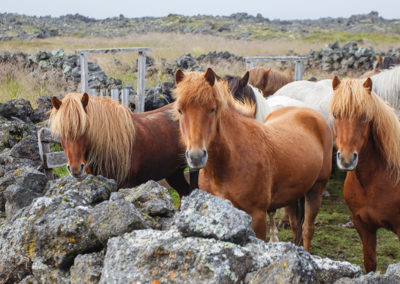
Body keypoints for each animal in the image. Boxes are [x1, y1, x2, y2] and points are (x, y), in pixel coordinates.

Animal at [173, 67, 332, 250]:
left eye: (212, 109)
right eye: (180, 110)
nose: (196, 156)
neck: (231, 160)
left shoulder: (257, 216)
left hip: (316, 189)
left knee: (307, 229)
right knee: (295, 224)